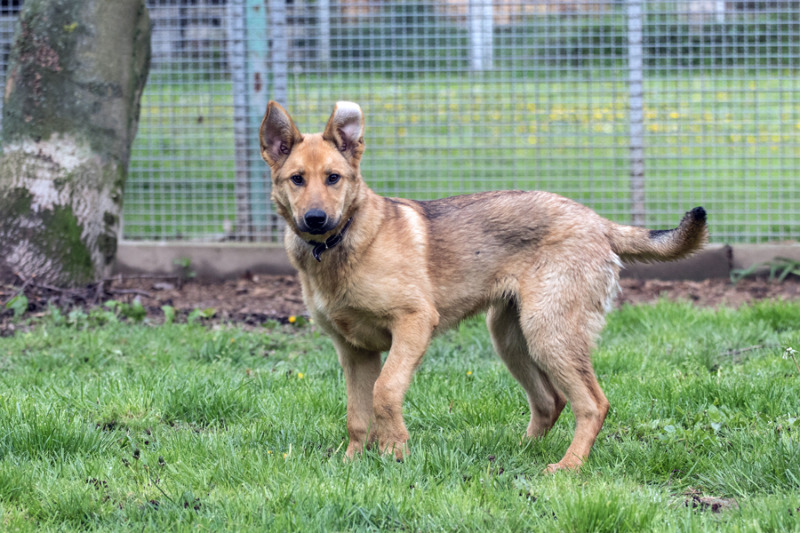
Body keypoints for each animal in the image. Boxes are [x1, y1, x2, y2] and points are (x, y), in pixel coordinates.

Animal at [258, 100, 708, 470]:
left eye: (333, 178)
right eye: (297, 179)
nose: (315, 219)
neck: (340, 245)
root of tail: (598, 221)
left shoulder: (413, 323)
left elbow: (385, 392)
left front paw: (395, 453)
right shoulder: (354, 352)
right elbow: (357, 415)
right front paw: (354, 462)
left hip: (549, 333)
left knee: (593, 404)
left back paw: (568, 466)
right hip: (510, 337)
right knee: (550, 401)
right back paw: (519, 452)